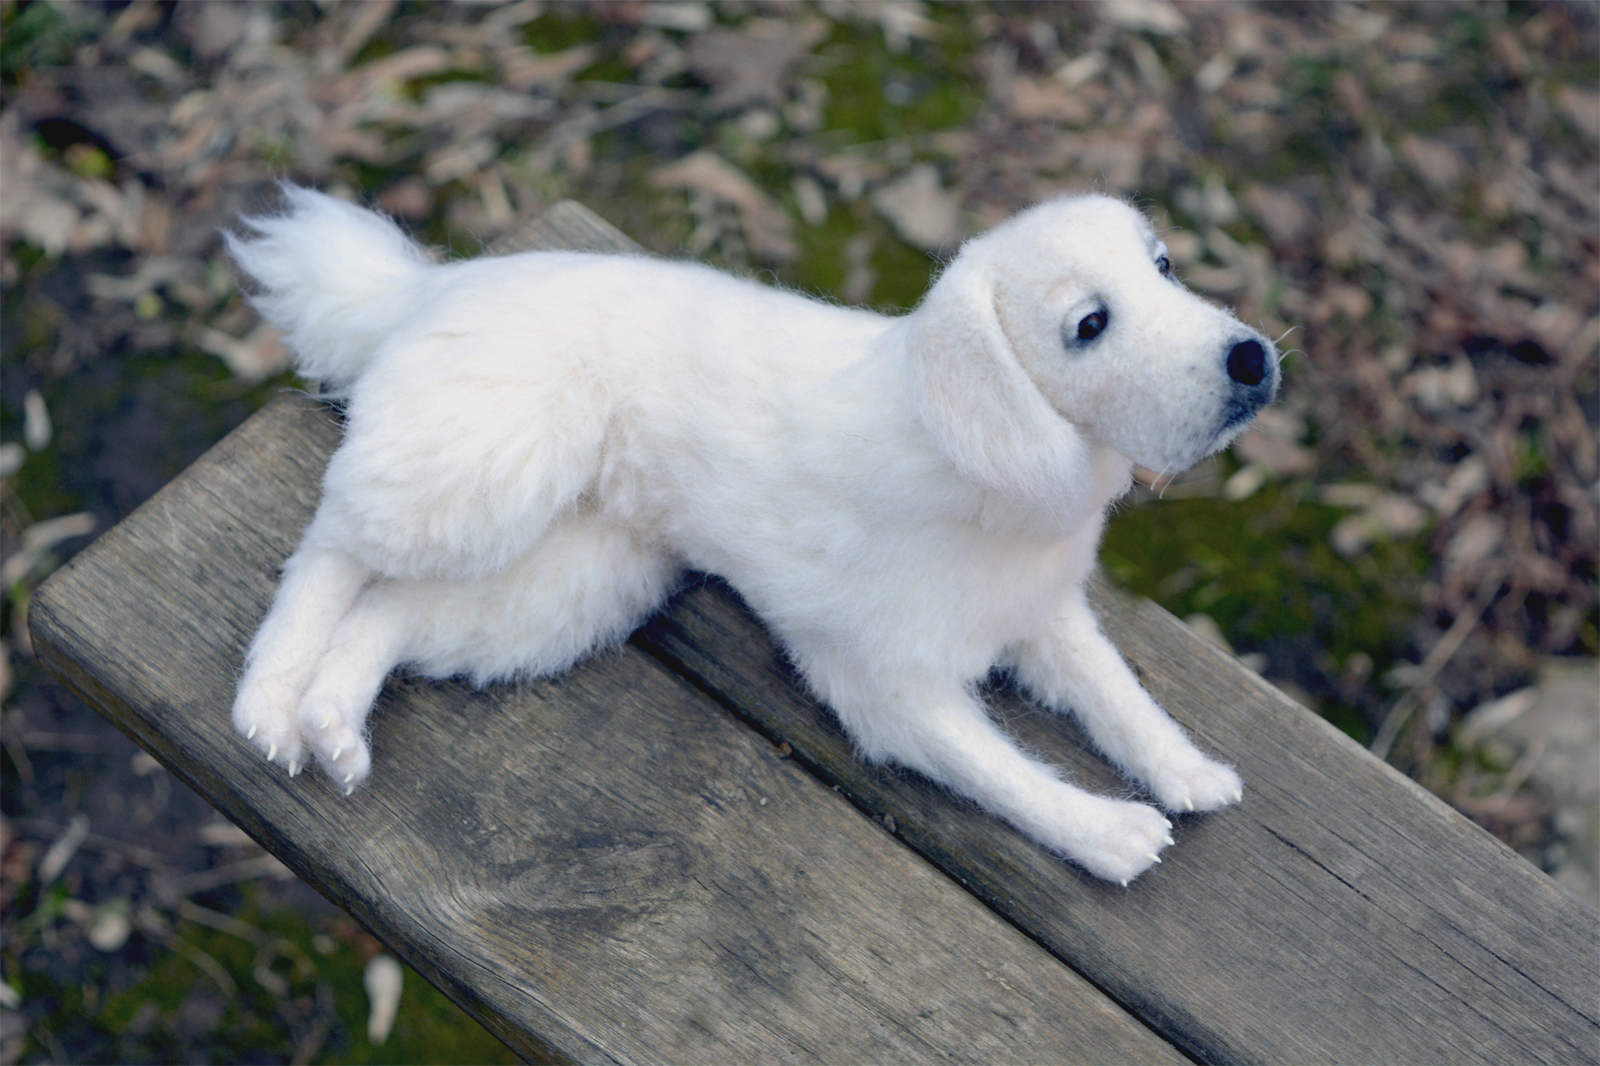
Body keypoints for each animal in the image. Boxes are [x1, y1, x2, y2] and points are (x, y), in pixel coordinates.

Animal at [225, 182, 1280, 877]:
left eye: (1165, 267)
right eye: (1089, 325)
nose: (1251, 359)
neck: (979, 474)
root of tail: (433, 289)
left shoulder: (1040, 615)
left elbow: (1117, 695)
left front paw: (1185, 771)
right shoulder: (886, 691)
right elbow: (1004, 774)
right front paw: (1106, 831)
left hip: (564, 587)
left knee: (390, 614)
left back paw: (334, 720)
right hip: (478, 479)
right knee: (330, 546)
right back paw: (271, 703)